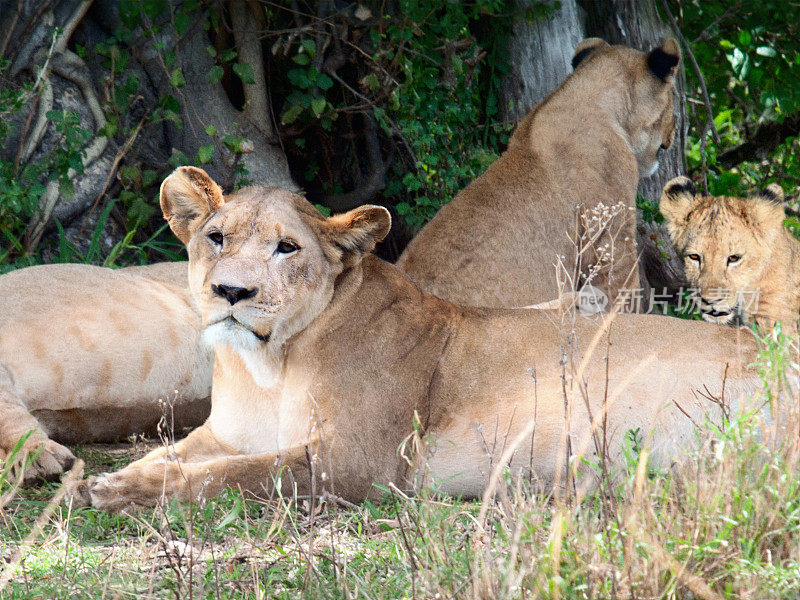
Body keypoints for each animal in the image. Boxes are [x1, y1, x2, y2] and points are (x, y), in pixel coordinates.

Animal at [70, 169, 764, 510]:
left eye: (286, 248)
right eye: (216, 238)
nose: (231, 293)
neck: (270, 364)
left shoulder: (355, 464)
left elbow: (230, 477)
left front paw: (121, 493)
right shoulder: (225, 433)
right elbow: (173, 456)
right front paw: (103, 480)